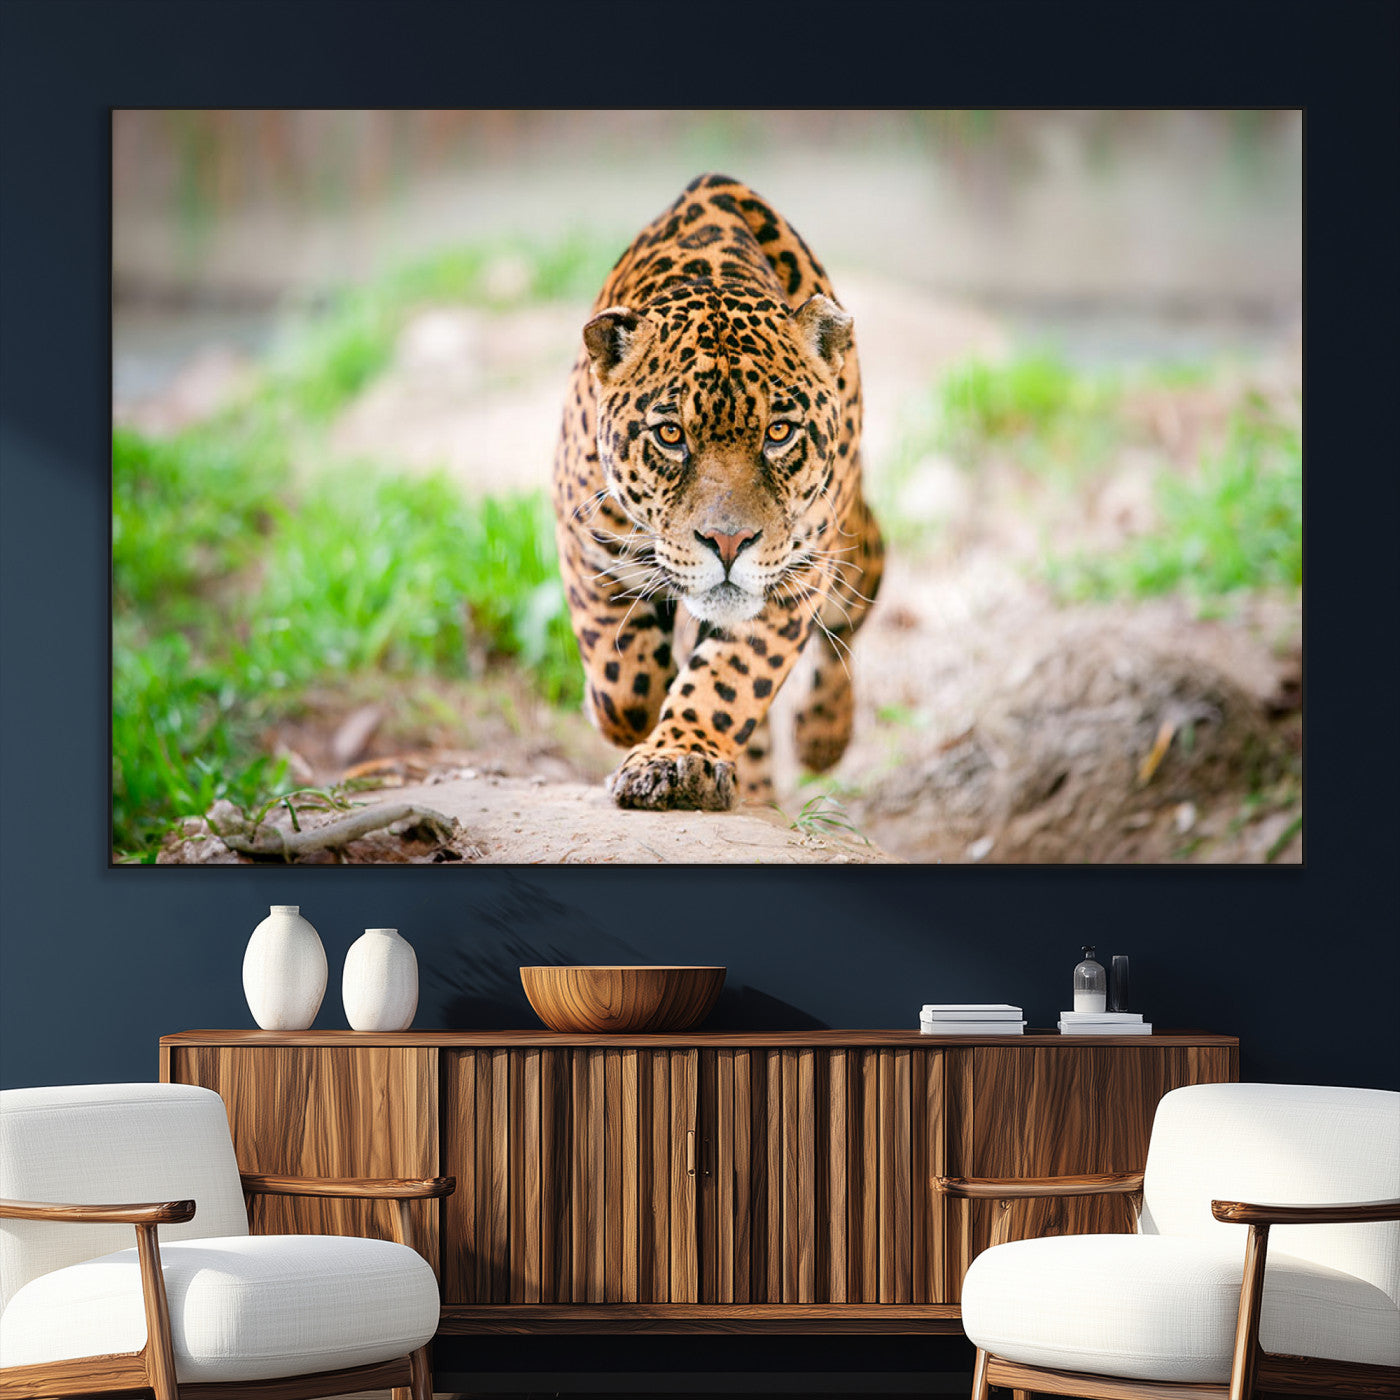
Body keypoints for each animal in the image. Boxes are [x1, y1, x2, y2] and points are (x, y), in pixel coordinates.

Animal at [552, 173, 884, 812]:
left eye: (778, 433)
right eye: (670, 435)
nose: (728, 543)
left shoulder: (795, 574)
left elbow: (729, 680)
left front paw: (677, 758)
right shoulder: (584, 535)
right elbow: (621, 677)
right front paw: (631, 719)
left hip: (851, 547)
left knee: (854, 609)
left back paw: (822, 736)